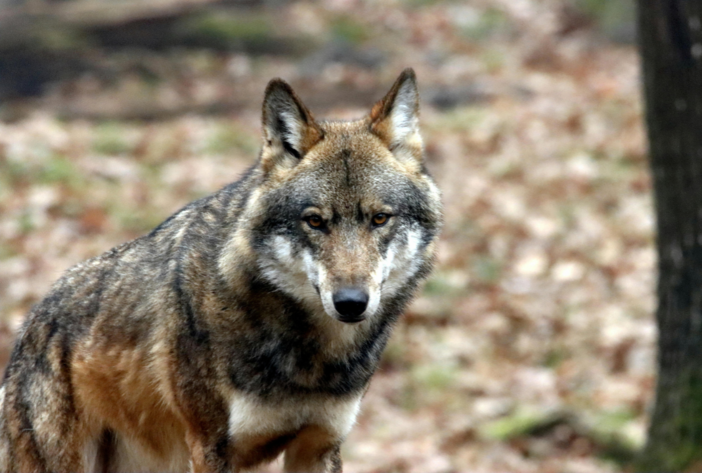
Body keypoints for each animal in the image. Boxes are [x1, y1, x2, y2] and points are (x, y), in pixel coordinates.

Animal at [0, 68, 442, 473]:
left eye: (380, 219)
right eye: (315, 221)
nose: (351, 303)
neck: (310, 358)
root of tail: (30, 325)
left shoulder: (319, 445)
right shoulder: (211, 445)